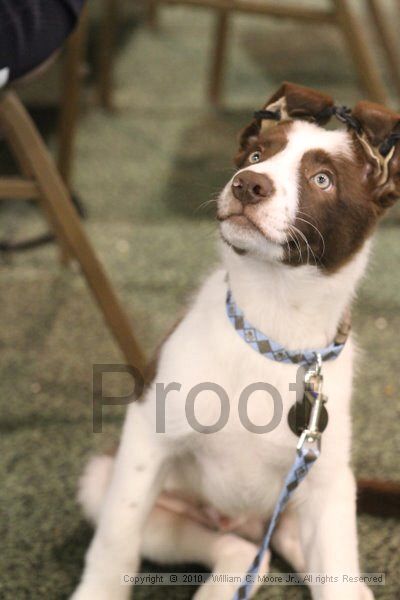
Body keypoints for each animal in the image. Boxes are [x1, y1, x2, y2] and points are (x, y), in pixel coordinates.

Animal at [72, 83, 400, 600]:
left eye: (323, 179)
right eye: (256, 155)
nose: (248, 184)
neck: (274, 324)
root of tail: (247, 522)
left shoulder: (327, 482)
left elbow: (337, 573)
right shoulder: (147, 438)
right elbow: (115, 540)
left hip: (314, 498)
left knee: (297, 557)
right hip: (105, 481)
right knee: (244, 551)